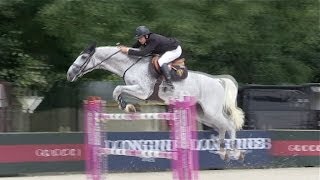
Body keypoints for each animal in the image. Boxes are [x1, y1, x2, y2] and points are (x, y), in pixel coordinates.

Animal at [67, 43, 245, 160]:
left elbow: (117, 89)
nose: (69, 74)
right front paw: (128, 106)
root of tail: (218, 81)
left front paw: (127, 107)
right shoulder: (139, 91)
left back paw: (236, 152)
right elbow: (118, 90)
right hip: (203, 114)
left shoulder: (142, 91)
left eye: (83, 56)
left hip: (211, 111)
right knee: (222, 126)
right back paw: (223, 152)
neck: (131, 65)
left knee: (229, 125)